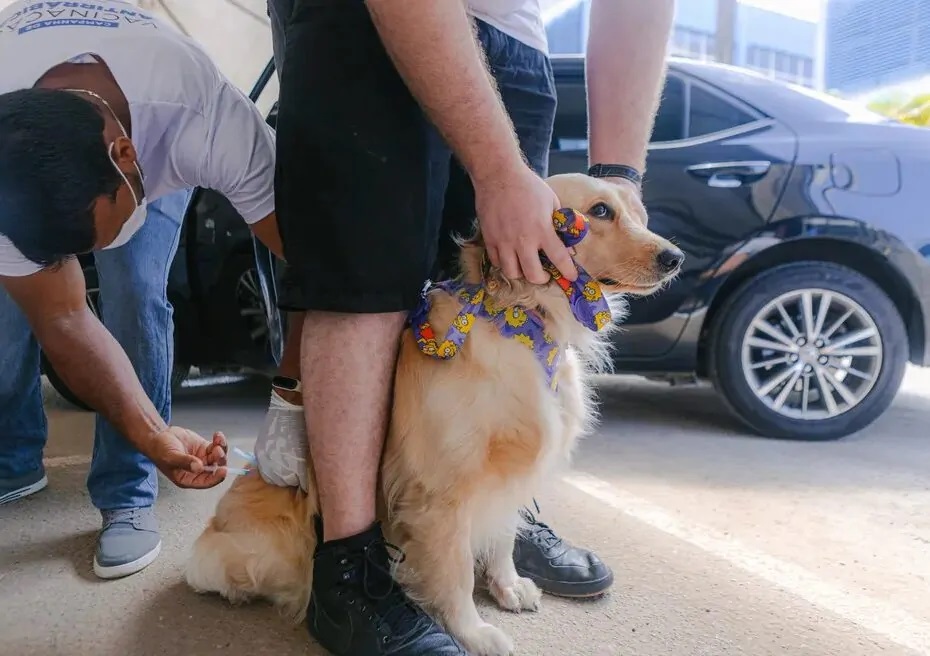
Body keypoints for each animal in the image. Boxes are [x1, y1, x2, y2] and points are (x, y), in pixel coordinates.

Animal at [185, 172, 676, 652]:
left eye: (638, 213)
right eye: (600, 211)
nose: (675, 258)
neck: (521, 324)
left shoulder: (508, 474)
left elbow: (503, 534)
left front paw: (508, 585)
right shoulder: (442, 492)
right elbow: (455, 573)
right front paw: (472, 632)